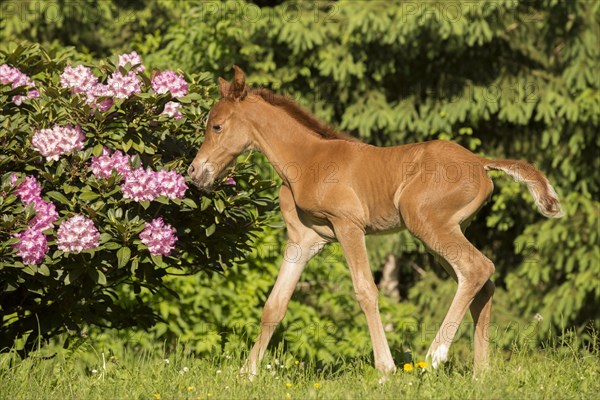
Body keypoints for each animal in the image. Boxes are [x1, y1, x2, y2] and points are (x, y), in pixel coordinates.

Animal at [188, 66, 564, 378]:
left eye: (217, 126)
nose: (194, 172)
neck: (306, 160)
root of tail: (481, 162)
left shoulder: (348, 226)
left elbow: (366, 291)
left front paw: (386, 369)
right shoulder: (303, 240)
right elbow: (275, 304)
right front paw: (247, 373)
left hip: (425, 223)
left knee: (477, 268)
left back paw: (434, 357)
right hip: (444, 231)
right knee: (480, 282)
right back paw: (480, 374)